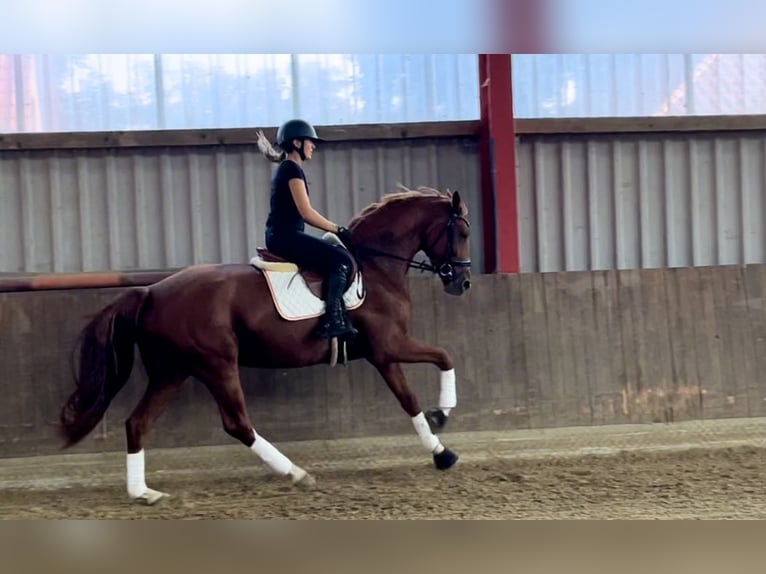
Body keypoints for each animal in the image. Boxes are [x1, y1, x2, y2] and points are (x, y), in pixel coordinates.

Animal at [58, 187, 474, 506]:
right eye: (462, 232)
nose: (463, 283)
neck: (375, 269)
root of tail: (150, 293)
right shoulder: (389, 346)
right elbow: (442, 361)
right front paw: (442, 423)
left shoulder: (383, 355)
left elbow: (412, 395)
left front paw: (441, 447)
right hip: (216, 364)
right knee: (237, 423)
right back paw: (296, 472)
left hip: (172, 372)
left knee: (138, 423)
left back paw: (144, 493)